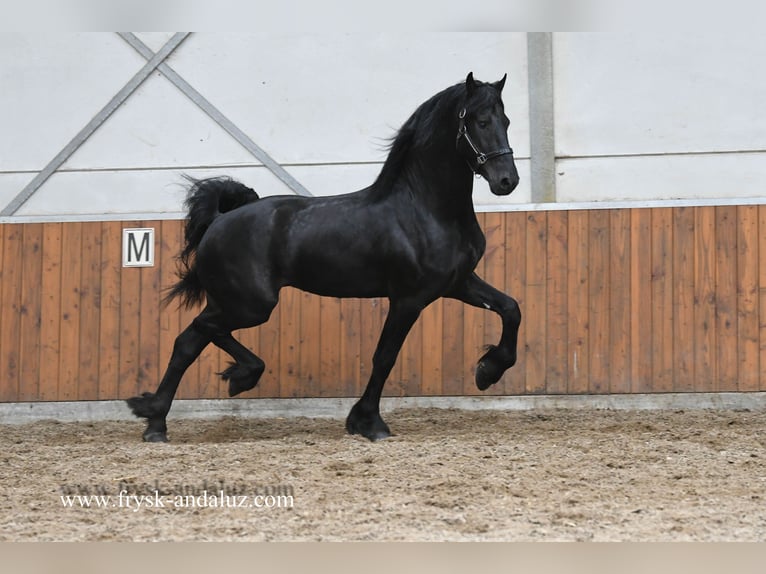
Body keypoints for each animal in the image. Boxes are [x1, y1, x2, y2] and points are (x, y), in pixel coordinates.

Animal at [127, 71, 520, 440]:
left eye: (506, 120)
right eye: (480, 121)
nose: (507, 181)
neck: (426, 208)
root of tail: (220, 220)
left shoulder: (457, 284)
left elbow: (510, 309)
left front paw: (488, 370)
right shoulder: (409, 298)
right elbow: (385, 357)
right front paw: (368, 422)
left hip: (233, 301)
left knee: (190, 341)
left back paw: (160, 420)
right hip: (251, 304)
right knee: (199, 332)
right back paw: (207, 391)